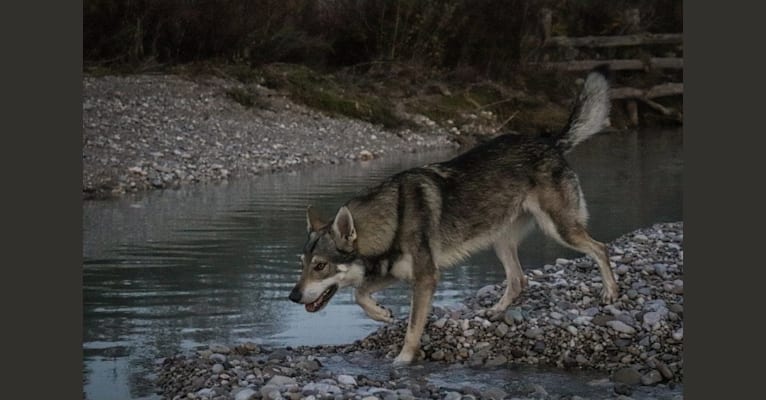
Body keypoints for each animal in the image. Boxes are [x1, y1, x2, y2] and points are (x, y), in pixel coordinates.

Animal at [288, 66, 616, 366]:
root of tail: (550, 142)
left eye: (320, 266)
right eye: (302, 263)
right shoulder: (396, 273)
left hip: (560, 229)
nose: (292, 297)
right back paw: (495, 311)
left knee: (600, 248)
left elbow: (411, 328)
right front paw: (382, 313)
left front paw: (403, 360)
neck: (394, 216)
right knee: (519, 280)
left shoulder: (426, 279)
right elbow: (359, 293)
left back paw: (611, 292)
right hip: (501, 241)